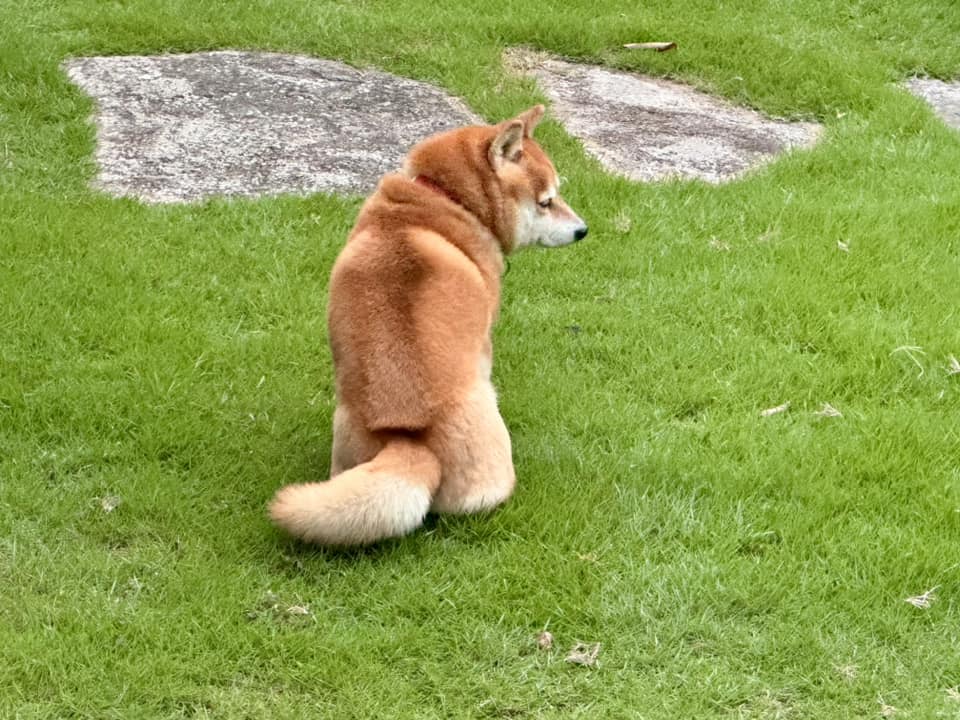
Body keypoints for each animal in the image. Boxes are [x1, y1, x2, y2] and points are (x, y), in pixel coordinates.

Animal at [269, 105, 587, 545]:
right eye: (547, 201)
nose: (583, 230)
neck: (442, 197)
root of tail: (411, 441)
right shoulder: (484, 340)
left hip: (344, 429)